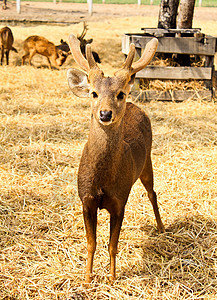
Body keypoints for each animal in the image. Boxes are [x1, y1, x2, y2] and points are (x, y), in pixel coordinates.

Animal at [67, 34, 165, 282]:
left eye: (120, 93)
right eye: (93, 93)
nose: (105, 113)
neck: (103, 182)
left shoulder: (120, 200)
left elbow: (112, 246)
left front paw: (111, 278)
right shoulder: (86, 200)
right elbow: (91, 244)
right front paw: (88, 278)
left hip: (147, 163)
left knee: (152, 193)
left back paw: (161, 227)